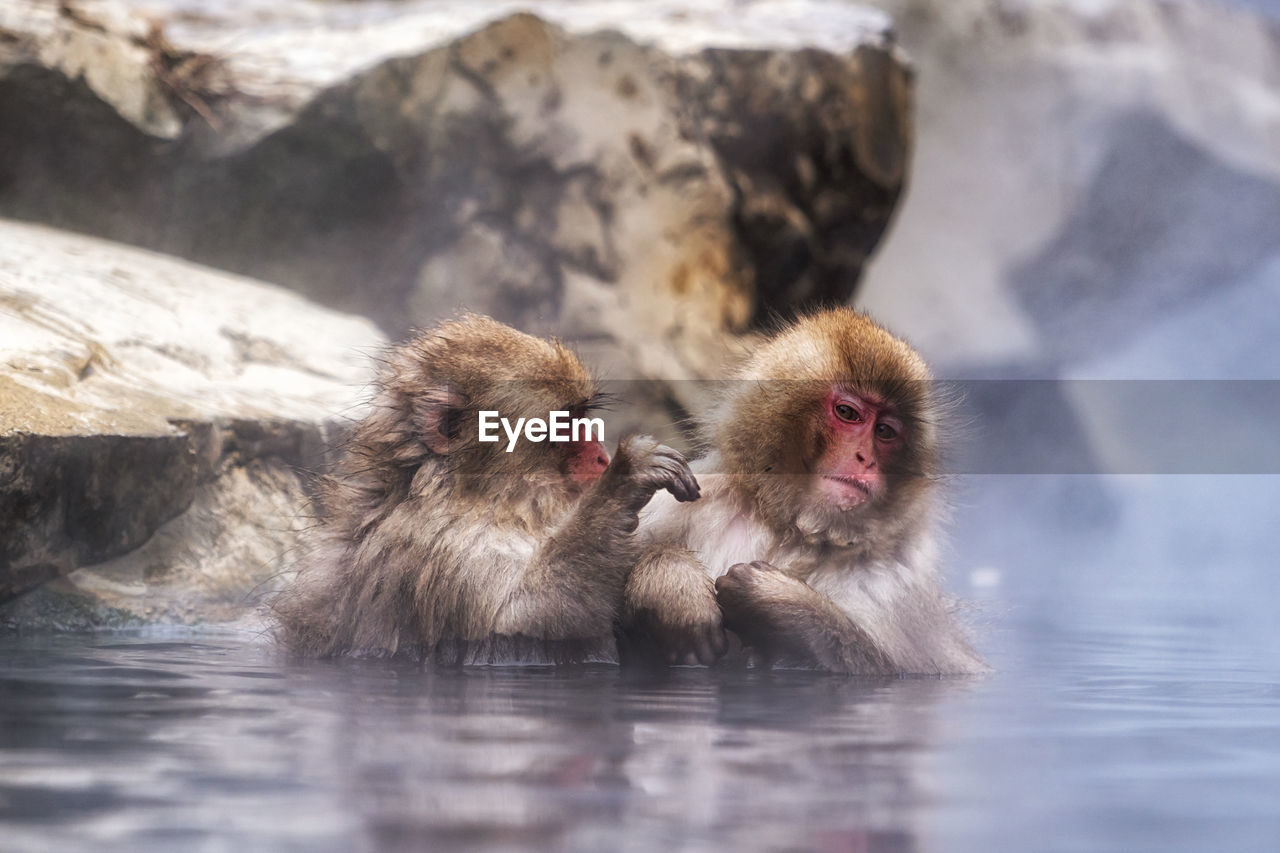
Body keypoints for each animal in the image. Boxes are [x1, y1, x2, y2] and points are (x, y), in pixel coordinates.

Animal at [275, 313, 701, 666]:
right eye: (562, 425)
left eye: (582, 417)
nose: (601, 457)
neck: (482, 495)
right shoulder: (438, 545)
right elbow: (520, 621)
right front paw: (625, 479)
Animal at [622, 308, 988, 676]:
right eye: (847, 413)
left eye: (885, 431)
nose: (866, 458)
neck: (795, 528)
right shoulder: (685, 500)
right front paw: (674, 584)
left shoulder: (898, 581)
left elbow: (900, 670)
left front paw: (776, 602)